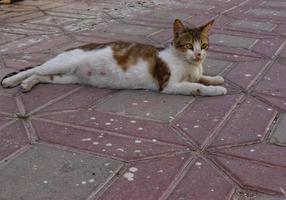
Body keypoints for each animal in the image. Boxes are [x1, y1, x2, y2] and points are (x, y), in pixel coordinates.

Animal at [1, 18, 227, 96]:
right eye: (188, 45)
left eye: (203, 45)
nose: (198, 54)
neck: (189, 65)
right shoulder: (169, 85)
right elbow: (197, 87)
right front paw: (217, 90)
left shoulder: (196, 71)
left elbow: (202, 78)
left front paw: (216, 79)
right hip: (62, 63)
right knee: (34, 68)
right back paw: (12, 81)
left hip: (66, 77)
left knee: (41, 76)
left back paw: (28, 84)